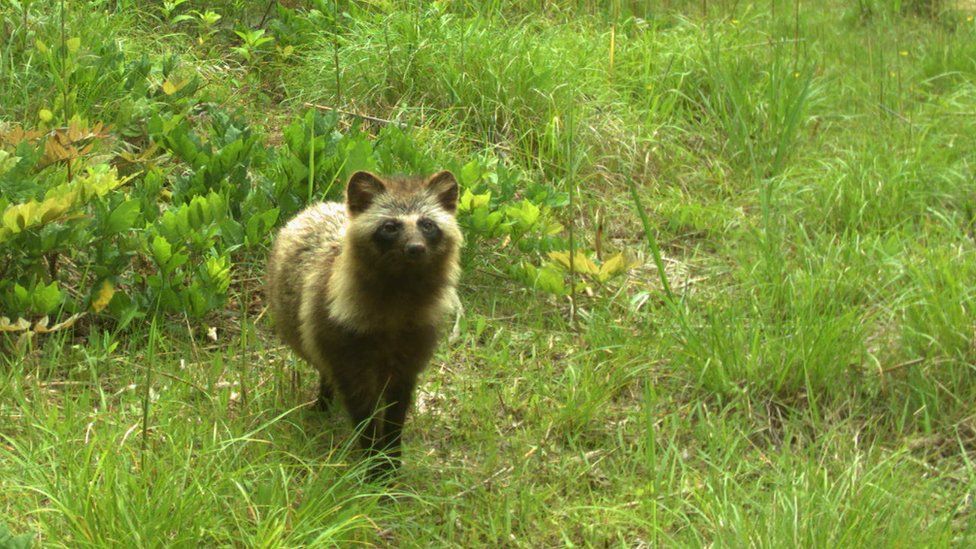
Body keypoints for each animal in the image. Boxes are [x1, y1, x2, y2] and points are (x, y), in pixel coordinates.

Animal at [264, 170, 464, 476]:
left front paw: (391, 457)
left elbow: (395, 411)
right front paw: (372, 461)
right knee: (325, 369)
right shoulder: (344, 347)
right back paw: (324, 401)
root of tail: (318, 206)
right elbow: (362, 411)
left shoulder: (411, 349)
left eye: (427, 224)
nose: (415, 248)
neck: (399, 293)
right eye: (390, 226)